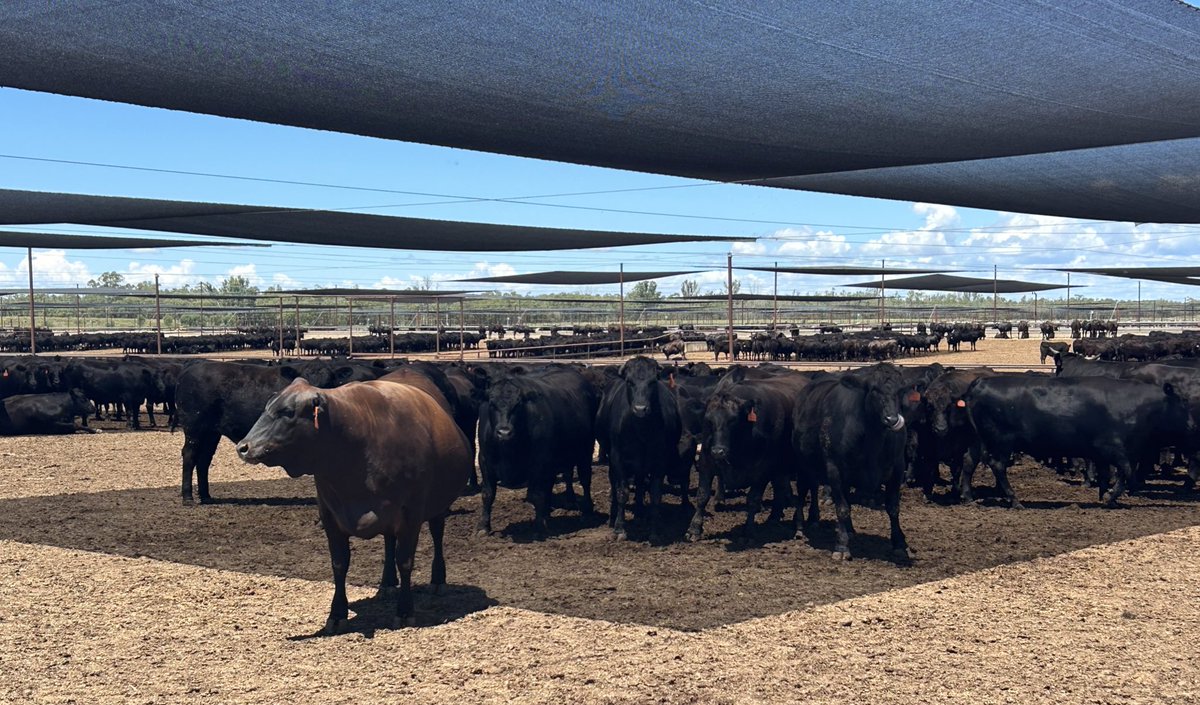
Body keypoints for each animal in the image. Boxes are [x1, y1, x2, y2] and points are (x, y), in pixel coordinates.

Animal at [236, 378, 470, 634]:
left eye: (288, 412)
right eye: (267, 407)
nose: (243, 447)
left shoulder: (411, 514)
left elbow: (405, 560)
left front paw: (405, 611)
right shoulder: (330, 515)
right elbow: (339, 564)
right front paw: (337, 613)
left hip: (437, 506)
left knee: (437, 534)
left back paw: (437, 580)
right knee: (389, 542)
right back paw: (387, 584)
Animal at [477, 365, 598, 537]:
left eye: (518, 404)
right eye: (492, 403)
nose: (504, 432)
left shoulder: (540, 461)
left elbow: (537, 494)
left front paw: (540, 526)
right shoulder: (484, 459)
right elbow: (487, 493)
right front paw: (483, 526)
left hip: (585, 451)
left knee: (584, 479)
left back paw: (586, 511)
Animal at [596, 356, 683, 541]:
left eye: (652, 382)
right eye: (630, 382)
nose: (640, 409)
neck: (641, 430)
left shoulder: (660, 459)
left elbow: (655, 494)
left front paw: (655, 530)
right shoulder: (618, 457)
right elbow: (622, 492)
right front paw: (619, 529)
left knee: (641, 484)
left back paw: (639, 514)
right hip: (610, 455)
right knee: (614, 482)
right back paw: (612, 517)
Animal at [791, 364, 911, 561]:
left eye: (901, 390)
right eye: (873, 389)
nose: (892, 419)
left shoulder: (897, 468)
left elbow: (893, 507)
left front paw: (899, 544)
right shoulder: (834, 469)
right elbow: (842, 508)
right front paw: (841, 546)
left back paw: (848, 529)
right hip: (802, 463)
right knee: (804, 489)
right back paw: (800, 526)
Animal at [964, 376, 1191, 507]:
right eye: (1183, 403)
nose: (1192, 425)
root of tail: (981, 382)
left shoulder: (1105, 453)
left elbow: (1106, 474)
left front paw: (1104, 495)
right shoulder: (1116, 449)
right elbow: (1126, 473)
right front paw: (1111, 498)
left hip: (977, 440)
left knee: (968, 461)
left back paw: (968, 497)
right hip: (1002, 442)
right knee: (997, 466)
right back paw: (1014, 500)